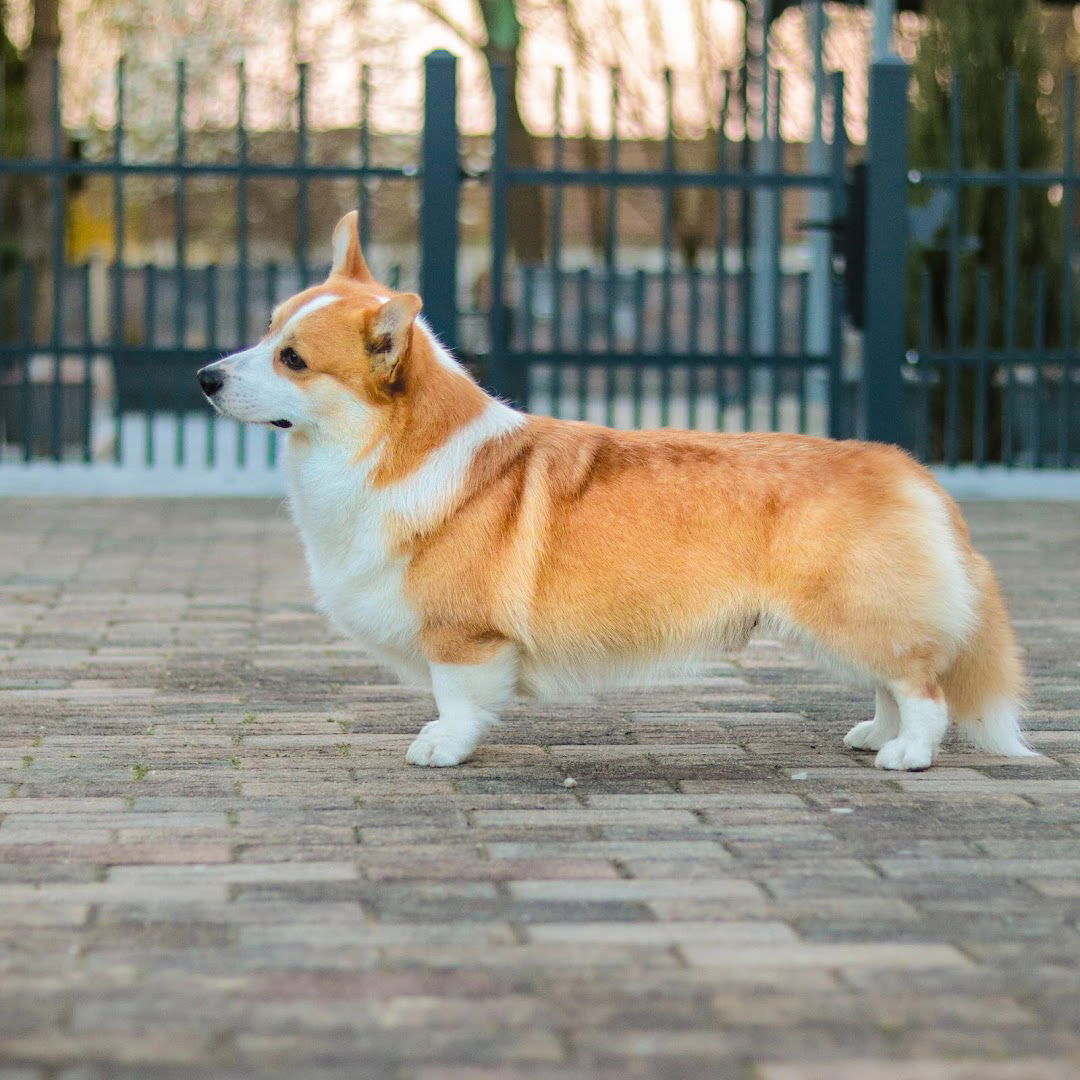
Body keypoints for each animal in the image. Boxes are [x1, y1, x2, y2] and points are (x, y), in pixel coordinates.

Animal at [198, 208, 1032, 768]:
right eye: (265, 332)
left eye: (293, 359)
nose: (204, 377)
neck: (387, 452)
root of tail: (906, 468)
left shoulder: (464, 638)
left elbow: (457, 699)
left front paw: (442, 746)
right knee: (892, 680)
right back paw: (876, 735)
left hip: (847, 613)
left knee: (921, 683)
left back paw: (909, 753)